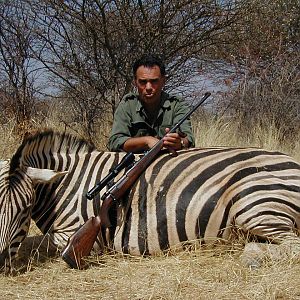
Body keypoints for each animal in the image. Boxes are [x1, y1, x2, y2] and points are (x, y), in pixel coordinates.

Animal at [0, 129, 300, 270]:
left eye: (25, 208)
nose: (1, 261)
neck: (68, 186)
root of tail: (293, 162)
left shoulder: (79, 236)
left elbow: (59, 246)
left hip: (255, 206)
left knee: (291, 246)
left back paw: (250, 258)